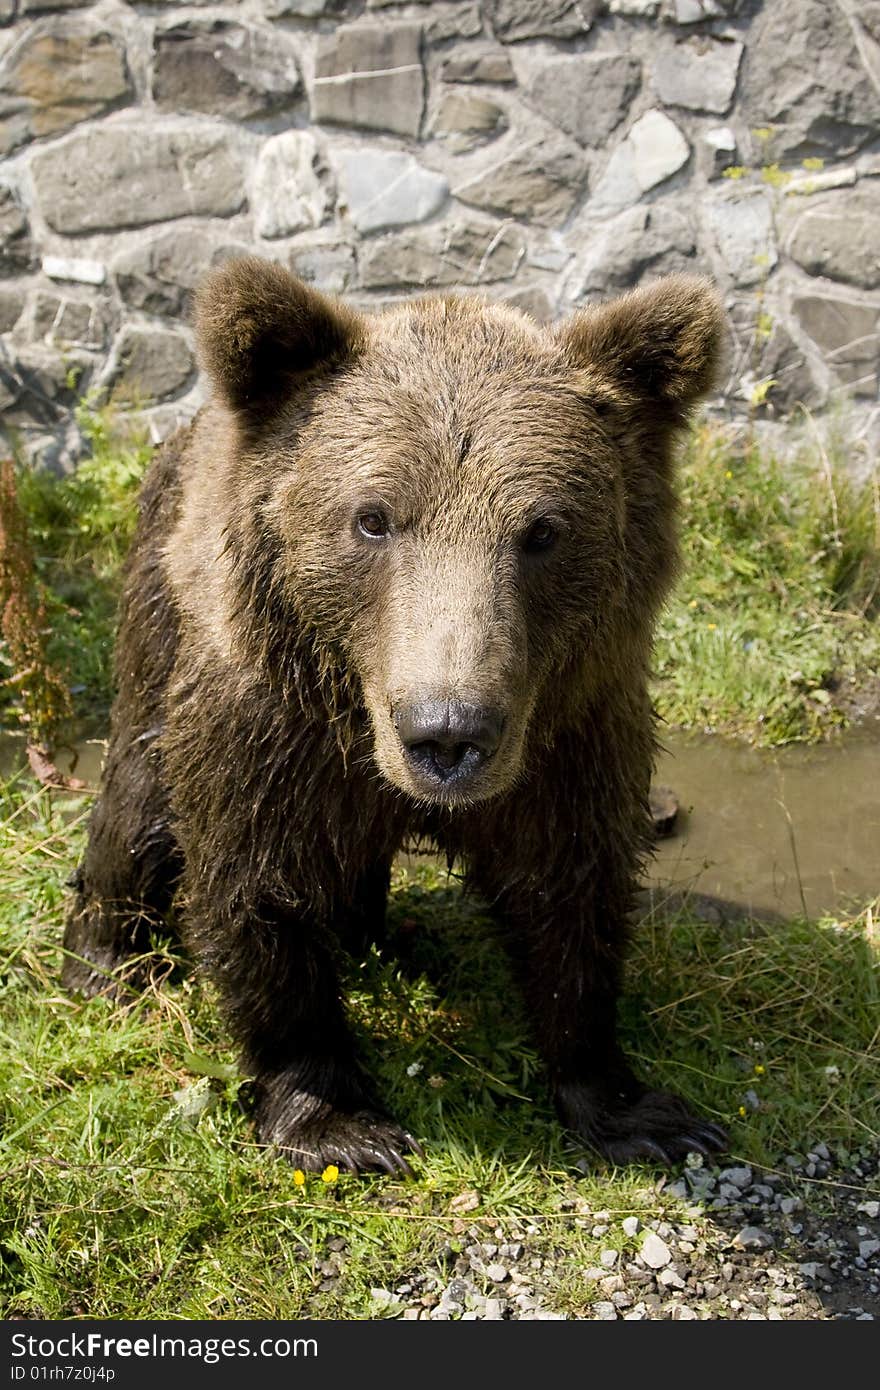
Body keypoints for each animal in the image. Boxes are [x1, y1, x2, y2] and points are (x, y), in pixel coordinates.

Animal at [63, 258, 728, 1173]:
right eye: (372, 518)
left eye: (543, 530)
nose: (447, 733)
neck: (364, 720)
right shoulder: (273, 733)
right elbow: (257, 891)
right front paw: (337, 1120)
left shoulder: (569, 735)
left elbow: (571, 893)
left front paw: (637, 1107)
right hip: (160, 608)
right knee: (136, 797)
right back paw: (105, 960)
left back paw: (383, 937)